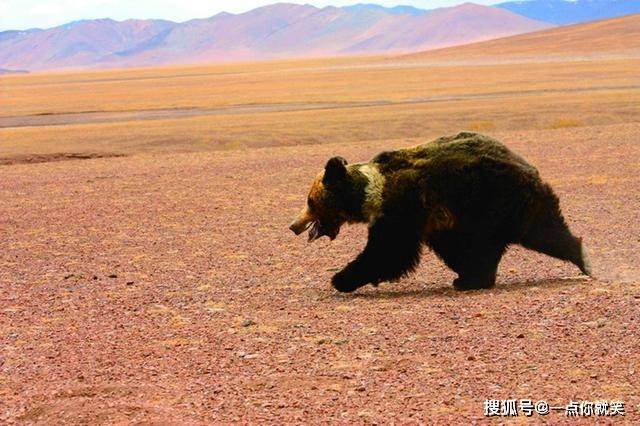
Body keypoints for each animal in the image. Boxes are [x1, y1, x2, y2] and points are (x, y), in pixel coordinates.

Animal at [289, 132, 591, 293]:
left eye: (310, 201)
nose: (293, 225)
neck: (368, 194)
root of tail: (529, 168)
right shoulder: (437, 220)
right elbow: (452, 247)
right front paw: (465, 273)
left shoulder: (402, 207)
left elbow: (389, 251)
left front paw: (341, 278)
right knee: (543, 230)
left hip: (495, 201)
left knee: (532, 234)